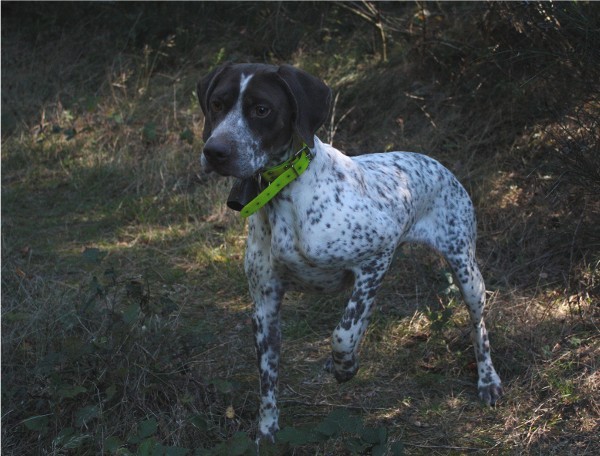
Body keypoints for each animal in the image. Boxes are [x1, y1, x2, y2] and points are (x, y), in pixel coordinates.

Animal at [197, 63, 502, 442]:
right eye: (217, 104)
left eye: (261, 109)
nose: (215, 151)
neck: (286, 192)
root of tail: (435, 162)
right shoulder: (264, 303)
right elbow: (268, 378)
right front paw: (267, 429)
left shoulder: (375, 258)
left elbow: (342, 334)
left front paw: (345, 367)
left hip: (466, 272)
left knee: (478, 327)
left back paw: (488, 380)